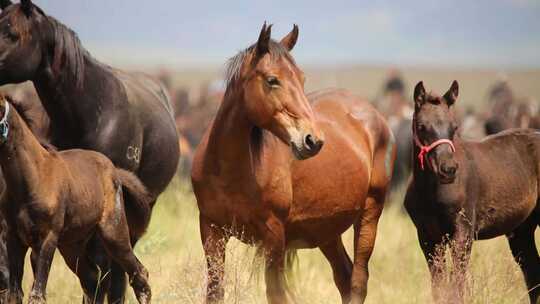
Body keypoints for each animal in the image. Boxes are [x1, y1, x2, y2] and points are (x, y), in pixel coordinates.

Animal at [0, 95, 152, 304]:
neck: (34, 178)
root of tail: (115, 171)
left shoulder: (48, 238)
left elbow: (37, 294)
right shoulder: (14, 237)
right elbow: (14, 295)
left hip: (113, 233)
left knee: (139, 273)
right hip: (72, 246)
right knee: (92, 279)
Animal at [192, 23, 394, 304]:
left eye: (302, 79)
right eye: (272, 80)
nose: (313, 140)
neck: (230, 172)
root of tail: (374, 114)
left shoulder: (274, 236)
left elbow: (275, 294)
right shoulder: (211, 231)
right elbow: (214, 291)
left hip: (369, 214)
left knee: (357, 282)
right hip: (326, 230)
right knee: (344, 276)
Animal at [404, 81, 540, 304]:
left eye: (454, 127)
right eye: (422, 126)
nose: (448, 169)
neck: (430, 193)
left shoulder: (462, 234)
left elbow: (458, 286)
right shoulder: (427, 237)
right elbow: (439, 287)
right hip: (522, 229)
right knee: (532, 270)